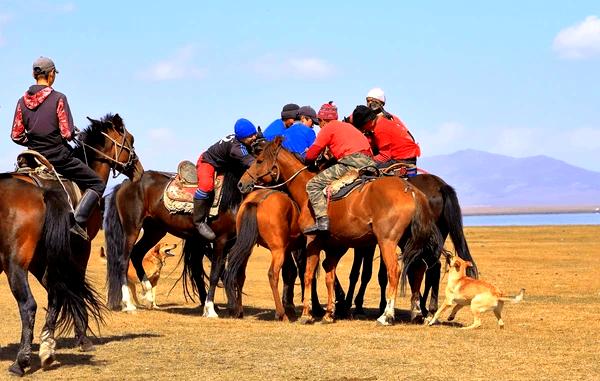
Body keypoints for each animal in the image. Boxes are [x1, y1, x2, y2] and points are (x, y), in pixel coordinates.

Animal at [104, 168, 243, 314]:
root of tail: (124, 183)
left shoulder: (228, 243)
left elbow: (228, 272)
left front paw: (231, 307)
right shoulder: (220, 241)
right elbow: (215, 273)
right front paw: (211, 309)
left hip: (154, 230)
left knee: (137, 253)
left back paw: (148, 293)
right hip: (132, 229)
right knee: (123, 262)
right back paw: (128, 304)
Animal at [237, 137, 442, 324]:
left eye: (259, 160)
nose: (241, 183)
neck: (305, 190)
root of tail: (411, 190)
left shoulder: (313, 240)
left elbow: (308, 274)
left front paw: (307, 314)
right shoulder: (334, 246)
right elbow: (330, 276)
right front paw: (329, 314)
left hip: (387, 241)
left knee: (394, 270)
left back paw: (386, 316)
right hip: (407, 240)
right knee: (418, 268)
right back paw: (417, 313)